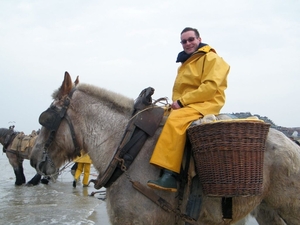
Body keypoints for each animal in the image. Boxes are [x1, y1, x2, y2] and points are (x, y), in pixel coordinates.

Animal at [29, 72, 300, 225]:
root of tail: (291, 143)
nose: (32, 159)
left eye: (46, 119)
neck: (126, 146)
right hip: (265, 209)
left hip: (290, 207)